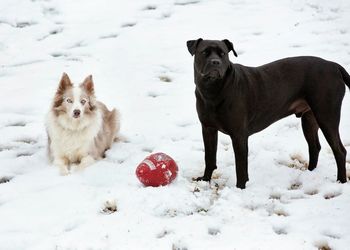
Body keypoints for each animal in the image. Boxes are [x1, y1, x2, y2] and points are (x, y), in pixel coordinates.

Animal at [187, 38, 348, 188]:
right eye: (204, 52)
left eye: (223, 54)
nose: (215, 62)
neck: (212, 91)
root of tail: (334, 66)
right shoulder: (208, 129)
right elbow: (209, 158)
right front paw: (205, 180)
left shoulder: (239, 135)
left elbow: (241, 166)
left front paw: (240, 188)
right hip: (309, 119)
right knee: (315, 147)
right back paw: (310, 172)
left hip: (327, 117)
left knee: (340, 151)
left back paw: (341, 181)